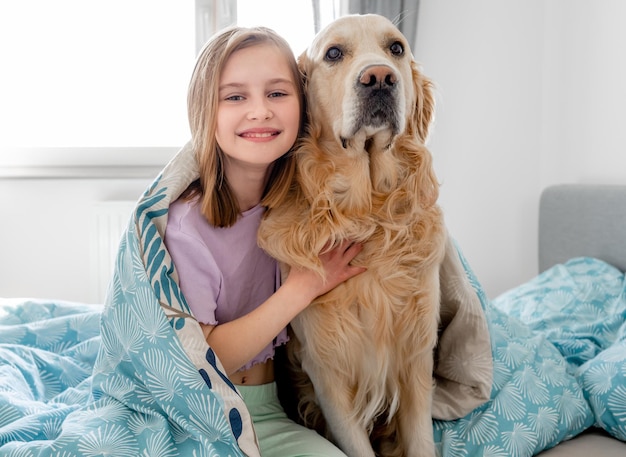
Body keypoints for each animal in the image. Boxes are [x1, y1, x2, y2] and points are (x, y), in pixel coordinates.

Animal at [258, 12, 444, 454]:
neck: (369, 214)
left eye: (396, 48)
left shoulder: (416, 359)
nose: (379, 78)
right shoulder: (328, 373)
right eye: (333, 54)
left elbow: (421, 442)